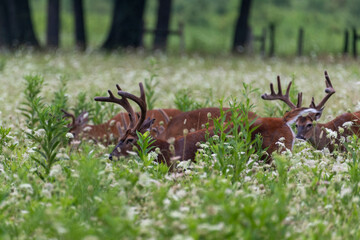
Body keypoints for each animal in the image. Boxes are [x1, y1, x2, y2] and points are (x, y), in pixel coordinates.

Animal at [97, 79, 320, 166]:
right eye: (119, 136)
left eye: (129, 139)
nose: (110, 155)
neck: (166, 152)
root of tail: (283, 119)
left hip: (274, 155)